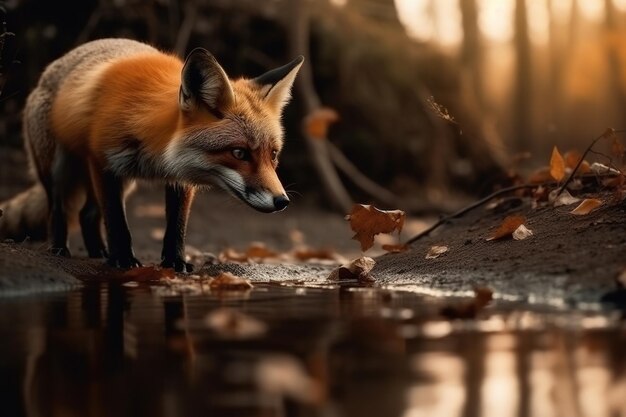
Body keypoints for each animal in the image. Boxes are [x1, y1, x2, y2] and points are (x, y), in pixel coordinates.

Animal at [0, 38, 302, 272]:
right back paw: (60, 248)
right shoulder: (104, 163)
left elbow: (177, 225)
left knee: (87, 213)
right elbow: (117, 221)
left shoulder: (181, 176)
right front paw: (123, 259)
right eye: (239, 152)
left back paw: (98, 251)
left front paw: (175, 262)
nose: (282, 201)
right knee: (58, 209)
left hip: (122, 182)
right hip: (57, 169)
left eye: (273, 155)